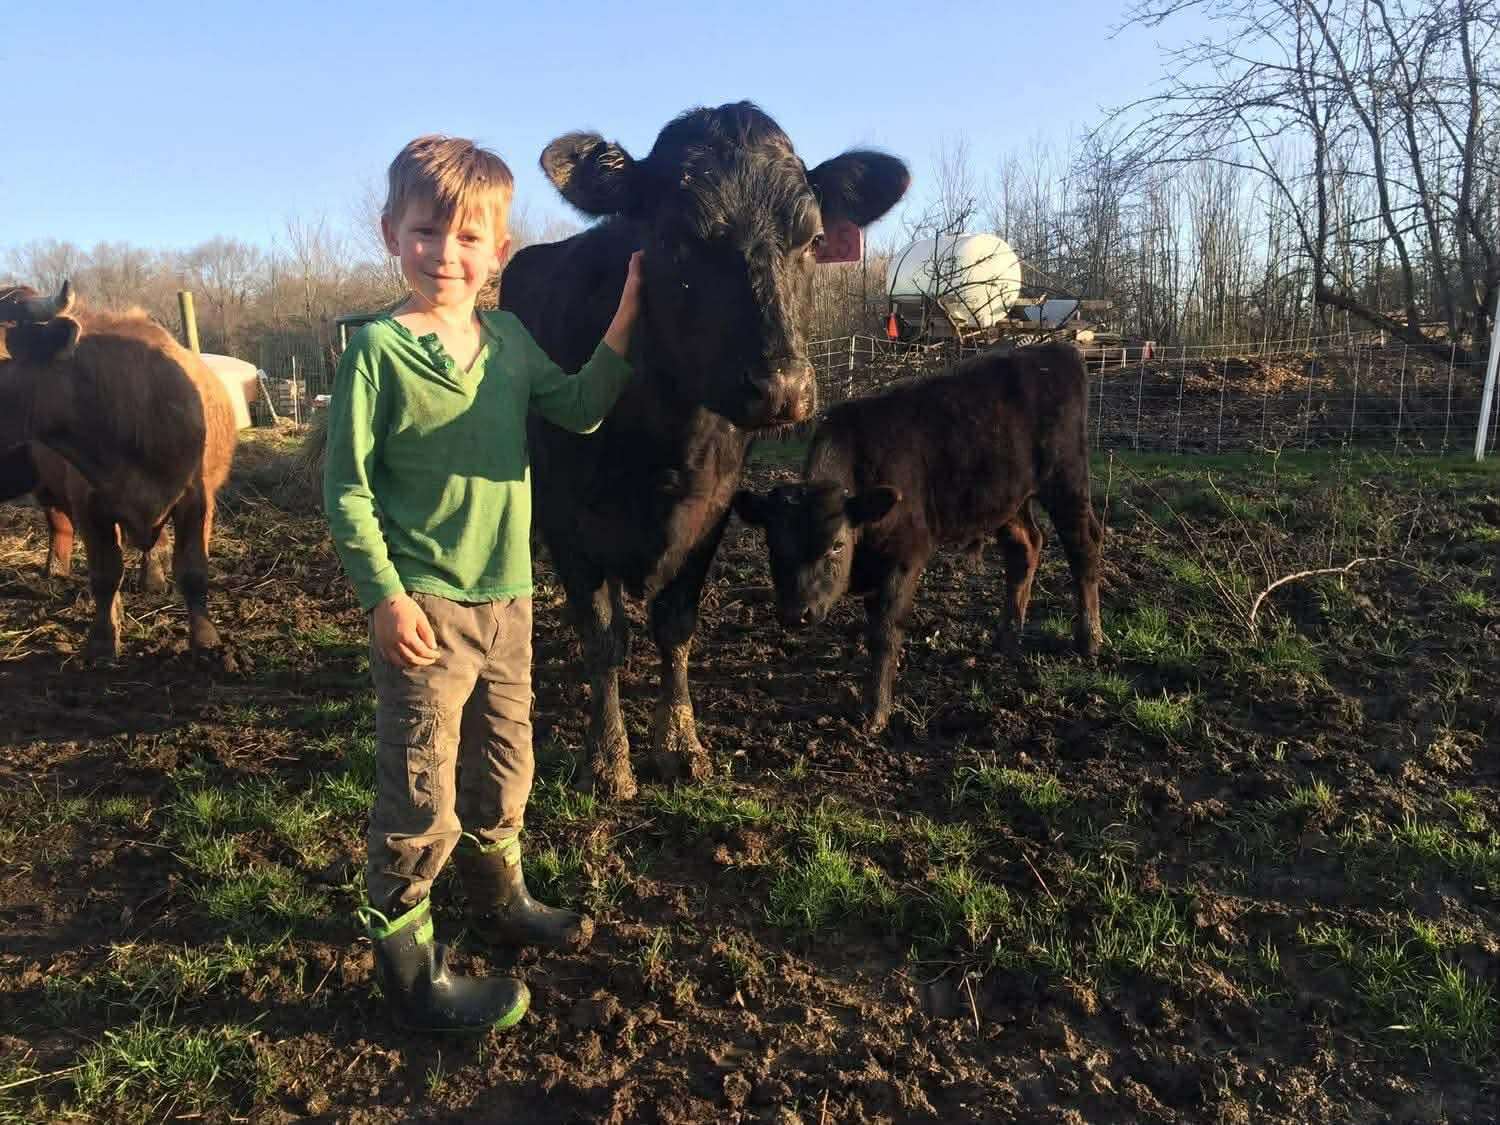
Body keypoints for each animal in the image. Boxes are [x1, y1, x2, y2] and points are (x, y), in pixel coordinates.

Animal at [0, 282, 237, 660]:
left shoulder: (196, 499)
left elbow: (193, 570)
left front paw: (205, 641)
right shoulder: (89, 505)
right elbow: (105, 574)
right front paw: (102, 640)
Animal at [498, 101, 908, 798]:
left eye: (811, 240)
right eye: (676, 240)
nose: (782, 387)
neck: (660, 442)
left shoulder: (711, 513)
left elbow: (675, 625)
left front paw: (680, 744)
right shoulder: (565, 519)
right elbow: (601, 635)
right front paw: (608, 758)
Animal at [733, 342, 1104, 734]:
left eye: (836, 545)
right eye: (772, 545)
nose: (796, 613)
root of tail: (1058, 350)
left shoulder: (905, 554)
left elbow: (885, 631)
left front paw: (875, 712)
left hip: (1066, 480)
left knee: (1084, 548)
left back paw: (1089, 639)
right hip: (1006, 498)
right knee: (1026, 546)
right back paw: (1007, 639)